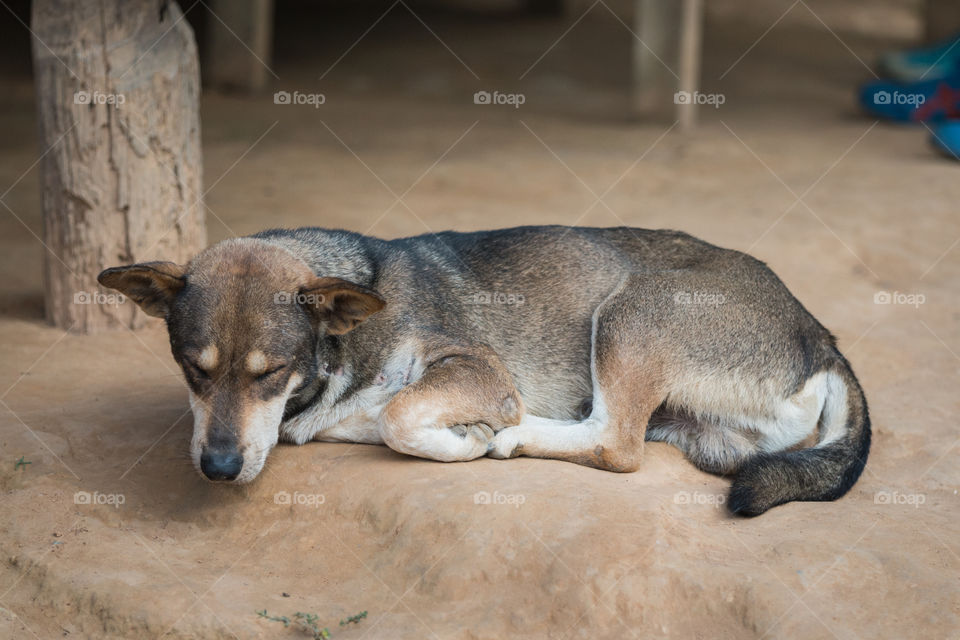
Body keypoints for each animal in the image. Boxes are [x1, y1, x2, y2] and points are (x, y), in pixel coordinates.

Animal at [99, 225, 872, 516]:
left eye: (272, 371)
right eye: (192, 370)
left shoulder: (474, 366)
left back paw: (513, 433)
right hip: (708, 438)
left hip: (632, 311)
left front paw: (464, 436)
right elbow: (375, 414)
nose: (219, 469)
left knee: (617, 444)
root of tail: (821, 336)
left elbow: (401, 412)